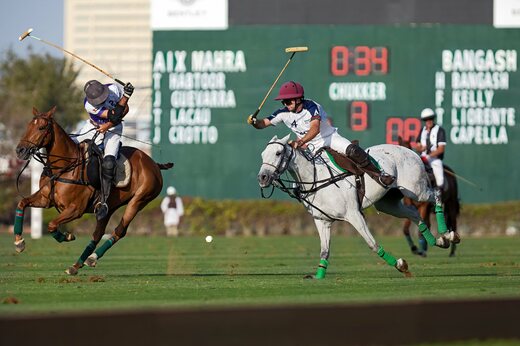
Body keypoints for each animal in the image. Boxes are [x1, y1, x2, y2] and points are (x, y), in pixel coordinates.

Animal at [13, 107, 173, 274]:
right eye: (28, 126)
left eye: (42, 127)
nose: (20, 150)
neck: (65, 167)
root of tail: (153, 163)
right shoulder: (45, 199)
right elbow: (22, 203)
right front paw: (19, 242)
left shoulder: (76, 209)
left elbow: (51, 225)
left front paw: (67, 236)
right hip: (109, 208)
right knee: (98, 234)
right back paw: (79, 263)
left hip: (139, 201)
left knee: (120, 230)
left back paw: (90, 259)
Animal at [256, 135, 460, 278]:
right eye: (262, 154)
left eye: (278, 153)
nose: (263, 178)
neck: (315, 177)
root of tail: (412, 152)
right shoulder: (322, 220)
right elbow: (325, 250)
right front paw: (319, 275)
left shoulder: (354, 214)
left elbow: (372, 243)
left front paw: (400, 265)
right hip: (388, 203)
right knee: (414, 213)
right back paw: (439, 240)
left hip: (416, 190)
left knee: (436, 194)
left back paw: (449, 234)